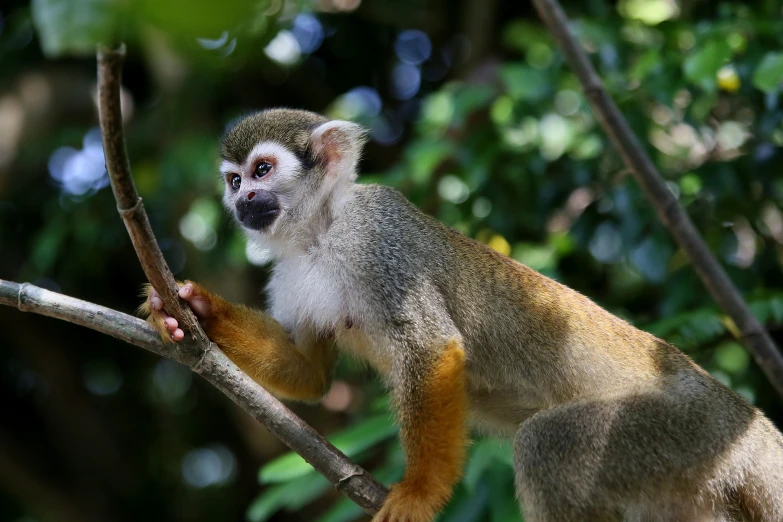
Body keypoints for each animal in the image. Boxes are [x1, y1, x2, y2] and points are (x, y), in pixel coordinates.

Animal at [144, 107, 783, 516]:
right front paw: (191, 308)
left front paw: (420, 494)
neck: (320, 234)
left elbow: (431, 347)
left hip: (684, 431)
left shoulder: (378, 236)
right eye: (233, 180)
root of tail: (748, 425)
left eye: (263, 170)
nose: (243, 200)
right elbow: (310, 373)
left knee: (549, 445)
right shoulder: (291, 274)